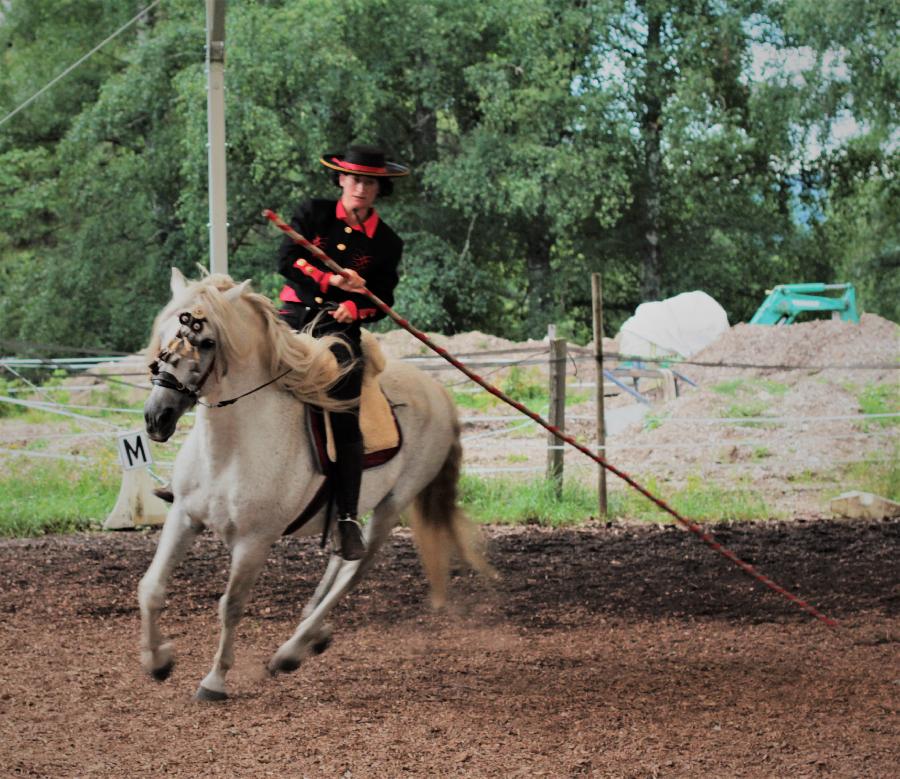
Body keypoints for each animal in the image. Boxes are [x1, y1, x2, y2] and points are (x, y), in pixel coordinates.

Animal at [138, 268, 496, 700]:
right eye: (164, 334)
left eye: (206, 342)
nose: (157, 417)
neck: (231, 447)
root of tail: (438, 391)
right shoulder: (184, 517)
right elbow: (151, 587)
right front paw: (157, 661)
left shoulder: (254, 541)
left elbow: (232, 604)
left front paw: (215, 680)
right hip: (353, 509)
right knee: (341, 557)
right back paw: (313, 630)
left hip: (393, 503)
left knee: (355, 569)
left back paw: (292, 649)